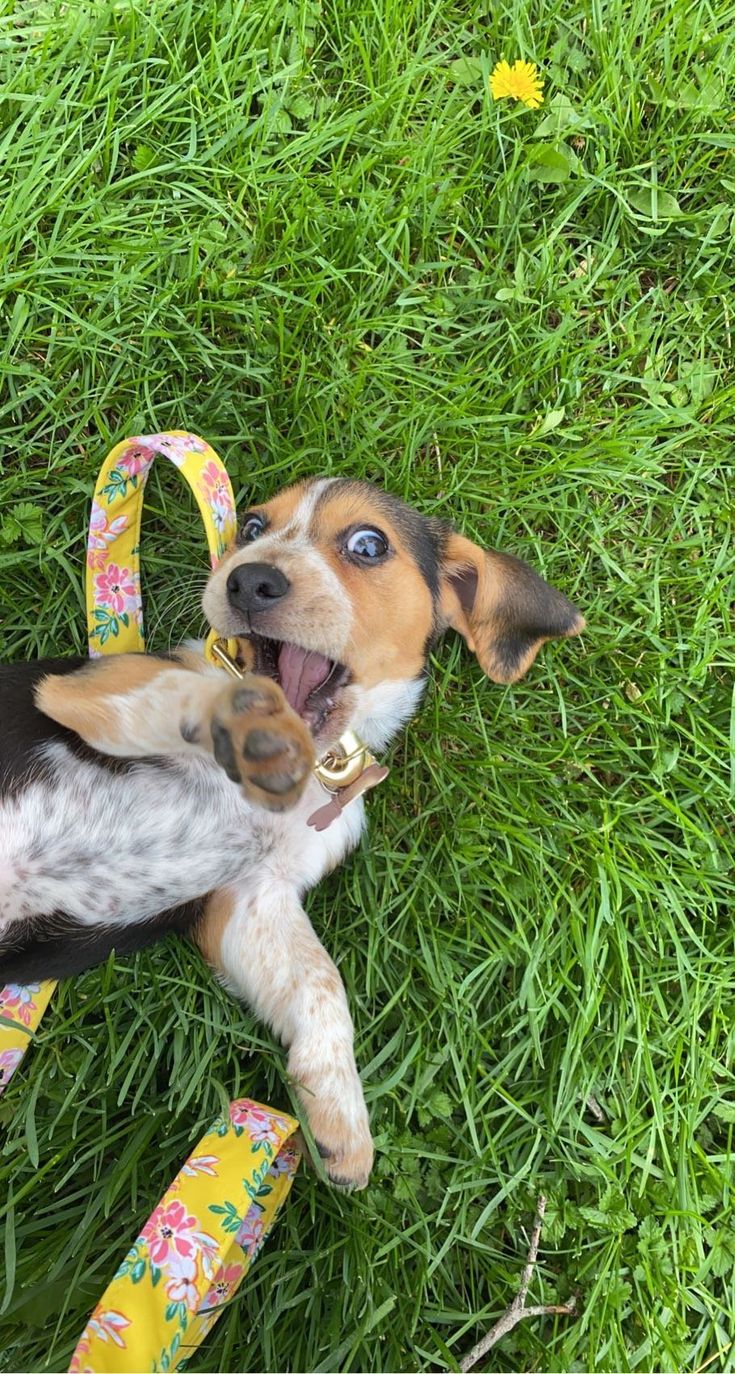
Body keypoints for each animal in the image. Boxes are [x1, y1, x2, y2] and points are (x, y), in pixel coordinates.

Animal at [1, 478, 588, 1187]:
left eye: (368, 545)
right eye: (252, 527)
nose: (249, 580)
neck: (312, 763)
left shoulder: (252, 900)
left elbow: (320, 987)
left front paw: (341, 1122)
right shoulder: (84, 693)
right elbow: (199, 694)